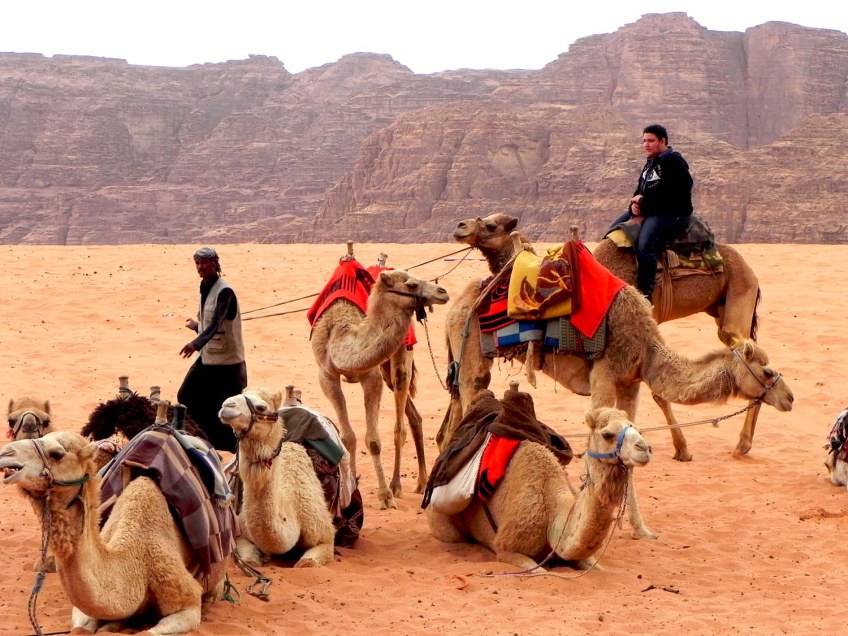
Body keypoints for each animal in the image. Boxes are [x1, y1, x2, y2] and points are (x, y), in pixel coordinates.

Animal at [218, 387, 338, 567]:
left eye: (261, 407)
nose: (227, 405)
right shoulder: (242, 533)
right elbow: (249, 560)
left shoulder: (325, 537)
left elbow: (307, 563)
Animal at [311, 267, 449, 509]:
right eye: (411, 284)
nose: (443, 291)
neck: (339, 334)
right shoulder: (327, 377)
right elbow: (348, 437)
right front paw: (352, 489)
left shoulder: (371, 377)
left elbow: (373, 441)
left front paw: (385, 496)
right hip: (385, 369)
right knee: (414, 417)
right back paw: (421, 482)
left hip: (400, 359)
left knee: (400, 425)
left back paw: (398, 485)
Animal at [428, 407, 651, 569]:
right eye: (607, 434)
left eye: (637, 428)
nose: (644, 448)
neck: (552, 509)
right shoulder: (506, 549)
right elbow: (539, 570)